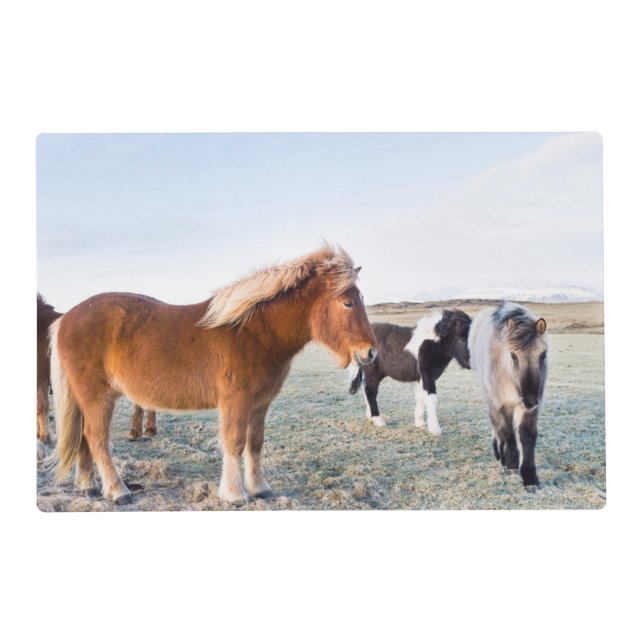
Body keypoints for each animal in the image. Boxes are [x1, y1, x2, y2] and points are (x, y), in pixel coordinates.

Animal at [468, 301, 548, 491]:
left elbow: (527, 434)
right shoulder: (503, 403)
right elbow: (508, 432)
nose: (530, 400)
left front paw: (530, 477)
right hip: (490, 394)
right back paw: (499, 453)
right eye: (513, 356)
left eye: (543, 354)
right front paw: (511, 464)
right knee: (496, 425)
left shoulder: (530, 408)